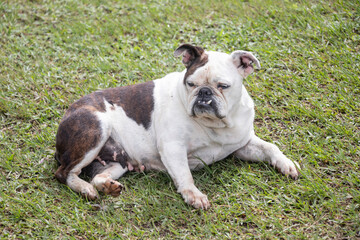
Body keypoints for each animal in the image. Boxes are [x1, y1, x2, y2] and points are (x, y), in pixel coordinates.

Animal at [54, 44, 300, 209]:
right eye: (190, 83)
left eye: (223, 86)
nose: (204, 93)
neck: (214, 124)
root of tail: (69, 112)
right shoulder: (173, 148)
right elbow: (184, 175)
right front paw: (194, 195)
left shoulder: (243, 144)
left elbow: (270, 147)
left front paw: (286, 163)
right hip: (97, 127)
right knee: (64, 173)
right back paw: (84, 189)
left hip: (118, 163)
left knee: (96, 176)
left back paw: (107, 186)